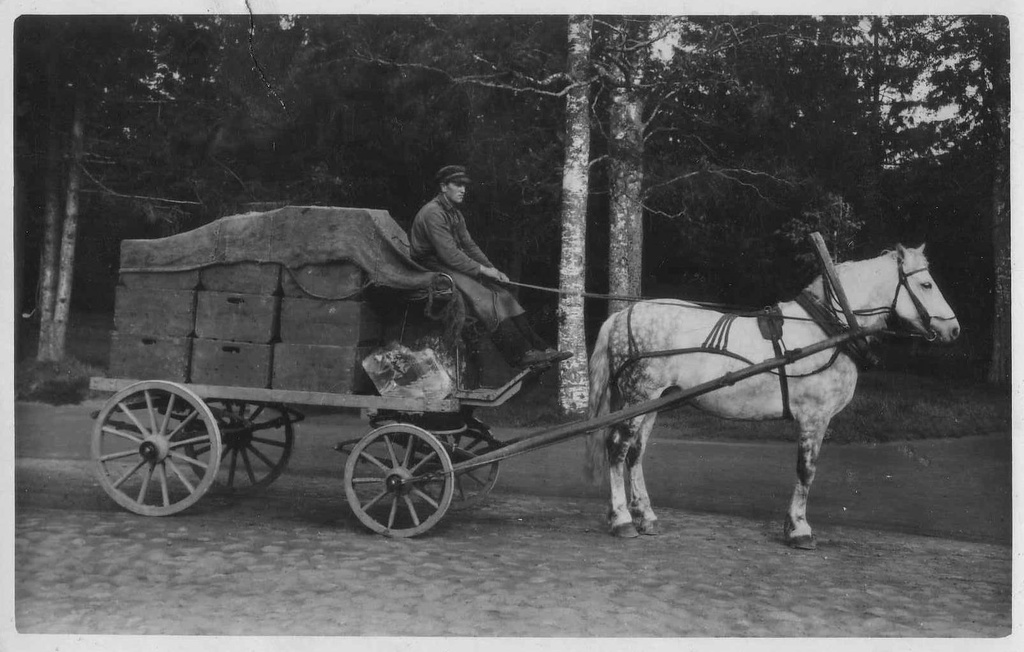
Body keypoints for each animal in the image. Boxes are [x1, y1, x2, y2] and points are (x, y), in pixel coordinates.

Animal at [585, 241, 958, 548]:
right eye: (926, 284)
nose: (953, 328)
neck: (826, 330)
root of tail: (622, 315)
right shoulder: (814, 417)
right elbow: (806, 470)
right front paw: (799, 529)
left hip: (652, 401)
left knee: (635, 453)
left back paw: (645, 516)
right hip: (639, 394)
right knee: (618, 448)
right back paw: (621, 520)